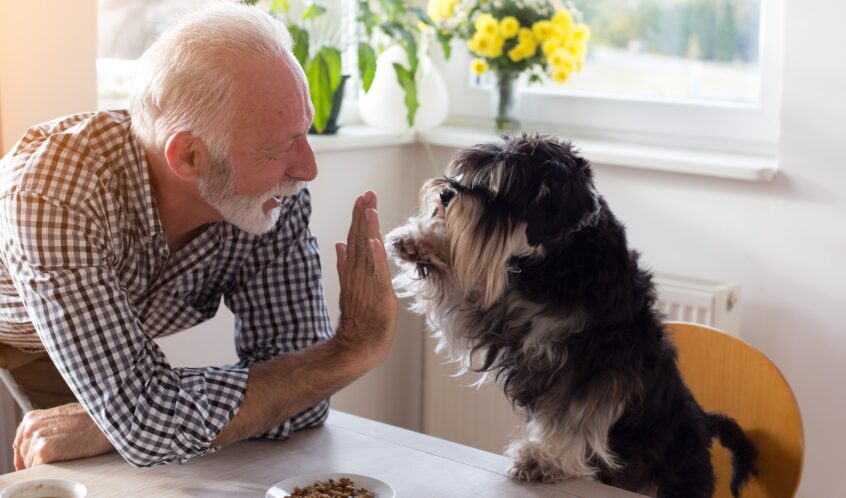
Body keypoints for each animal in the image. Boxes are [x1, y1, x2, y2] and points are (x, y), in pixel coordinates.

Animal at [388, 134, 760, 496]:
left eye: (501, 188)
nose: (445, 194)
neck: (561, 262)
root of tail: (704, 424)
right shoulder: (499, 317)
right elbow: (462, 290)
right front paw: (418, 241)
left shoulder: (593, 366)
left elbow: (571, 417)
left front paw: (543, 459)